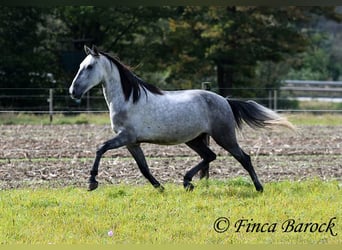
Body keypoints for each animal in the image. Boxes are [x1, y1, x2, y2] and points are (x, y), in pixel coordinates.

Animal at [69, 45, 294, 193]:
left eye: (89, 67)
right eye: (80, 65)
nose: (73, 91)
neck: (127, 99)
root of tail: (224, 100)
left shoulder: (125, 137)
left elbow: (100, 149)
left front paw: (92, 182)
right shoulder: (132, 143)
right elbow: (143, 168)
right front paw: (160, 188)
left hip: (224, 136)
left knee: (243, 158)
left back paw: (259, 188)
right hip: (194, 139)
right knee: (210, 156)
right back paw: (187, 182)